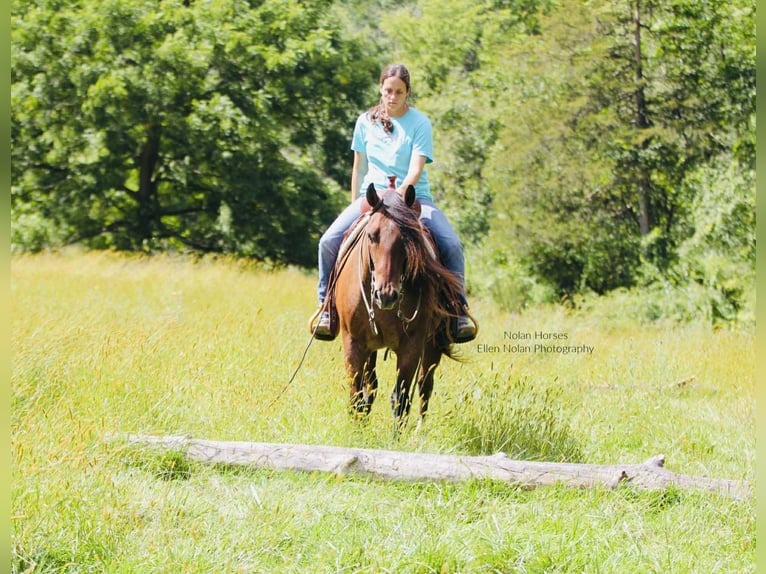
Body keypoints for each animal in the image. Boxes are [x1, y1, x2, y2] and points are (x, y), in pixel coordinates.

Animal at [332, 181, 465, 428]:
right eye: (371, 235)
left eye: (406, 239)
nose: (386, 296)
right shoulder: (353, 341)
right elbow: (357, 393)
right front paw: (356, 429)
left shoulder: (411, 345)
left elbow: (401, 398)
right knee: (371, 385)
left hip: (432, 344)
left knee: (424, 386)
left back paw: (419, 431)